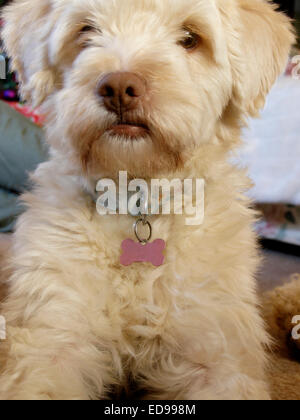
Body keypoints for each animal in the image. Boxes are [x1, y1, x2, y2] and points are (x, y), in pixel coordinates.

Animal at [0, 0, 294, 400]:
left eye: (190, 37)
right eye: (86, 30)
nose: (119, 88)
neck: (139, 199)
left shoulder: (215, 352)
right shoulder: (51, 338)